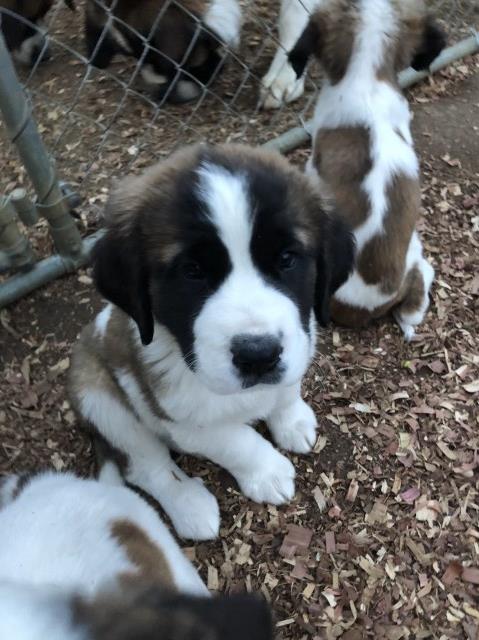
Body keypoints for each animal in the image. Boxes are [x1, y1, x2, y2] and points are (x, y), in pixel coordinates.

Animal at [68, 144, 356, 540]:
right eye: (192, 271)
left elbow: (286, 389)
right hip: (102, 399)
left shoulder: (299, 344)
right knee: (146, 466)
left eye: (287, 259)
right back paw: (190, 506)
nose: (258, 355)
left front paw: (292, 421)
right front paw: (268, 472)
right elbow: (234, 441)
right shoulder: (176, 413)